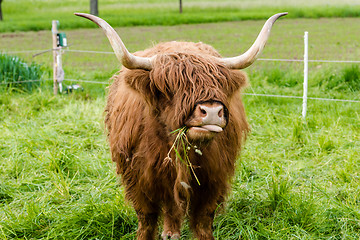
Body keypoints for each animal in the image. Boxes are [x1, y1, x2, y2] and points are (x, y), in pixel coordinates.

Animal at [76, 12, 286, 239]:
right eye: (169, 86)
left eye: (219, 83)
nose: (212, 111)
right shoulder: (139, 179)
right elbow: (147, 219)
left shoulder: (213, 180)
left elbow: (203, 221)